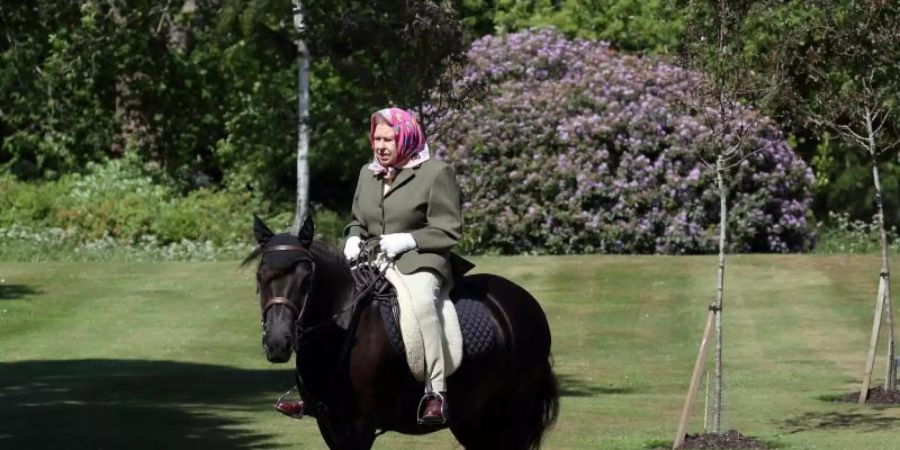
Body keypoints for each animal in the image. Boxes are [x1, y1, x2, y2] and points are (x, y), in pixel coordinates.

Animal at [246, 216, 556, 448]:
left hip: (514, 411)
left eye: (306, 278)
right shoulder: (330, 426)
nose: (278, 343)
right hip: (473, 417)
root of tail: (526, 302)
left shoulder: (358, 428)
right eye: (260, 276)